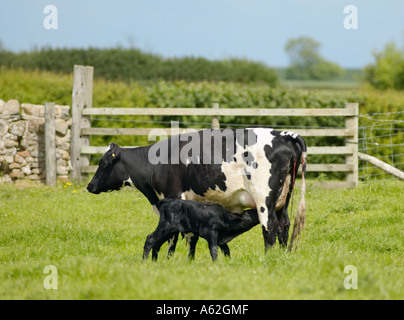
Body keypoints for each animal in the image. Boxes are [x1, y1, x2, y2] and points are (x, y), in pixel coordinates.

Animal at [87, 127, 306, 255]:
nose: (89, 186)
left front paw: (169, 260)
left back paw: (268, 258)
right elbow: (190, 236)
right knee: (284, 226)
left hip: (264, 199)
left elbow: (173, 237)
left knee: (269, 227)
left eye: (103, 163)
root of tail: (286, 135)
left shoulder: (173, 197)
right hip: (283, 199)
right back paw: (282, 256)